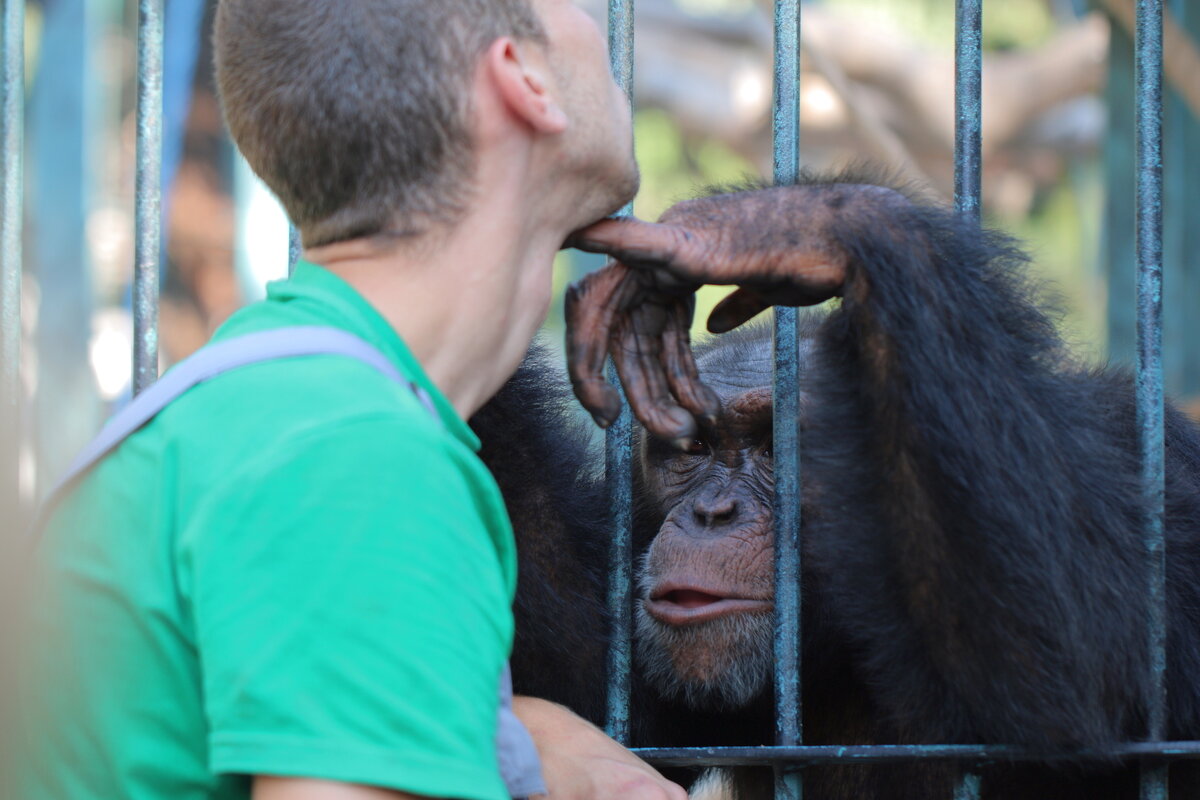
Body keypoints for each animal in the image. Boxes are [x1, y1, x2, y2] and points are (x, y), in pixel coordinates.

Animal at [465, 176, 1200, 800]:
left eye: (773, 447)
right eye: (693, 449)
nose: (711, 512)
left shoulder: (1154, 464)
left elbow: (1089, 663)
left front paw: (782, 224)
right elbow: (581, 688)